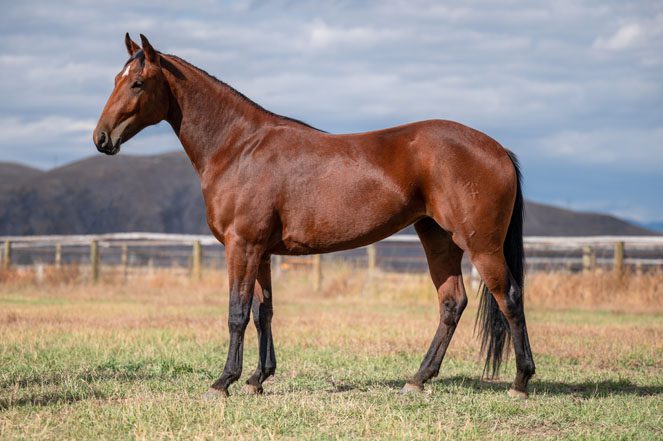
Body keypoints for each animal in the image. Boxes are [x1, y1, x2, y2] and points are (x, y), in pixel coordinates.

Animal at [93, 34, 535, 400]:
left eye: (137, 83)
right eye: (115, 78)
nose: (101, 138)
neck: (239, 147)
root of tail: (498, 150)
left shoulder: (242, 246)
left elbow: (237, 313)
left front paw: (224, 382)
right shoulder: (261, 252)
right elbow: (263, 312)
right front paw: (258, 379)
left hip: (481, 245)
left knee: (510, 298)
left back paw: (520, 382)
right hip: (438, 239)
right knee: (452, 303)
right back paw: (418, 379)